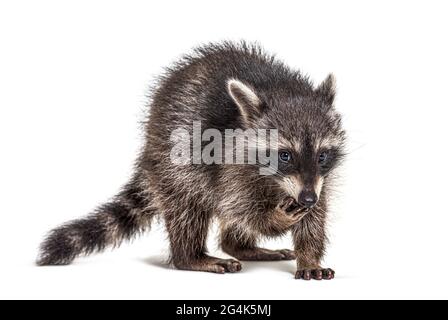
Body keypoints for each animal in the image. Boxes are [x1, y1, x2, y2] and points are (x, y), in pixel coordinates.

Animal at [38, 42, 346, 280]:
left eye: (322, 155)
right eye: (284, 155)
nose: (306, 199)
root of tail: (148, 145)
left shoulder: (320, 180)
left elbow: (315, 217)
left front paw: (309, 257)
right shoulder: (228, 160)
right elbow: (239, 206)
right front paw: (275, 218)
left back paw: (240, 246)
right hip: (172, 161)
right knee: (187, 206)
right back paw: (190, 256)